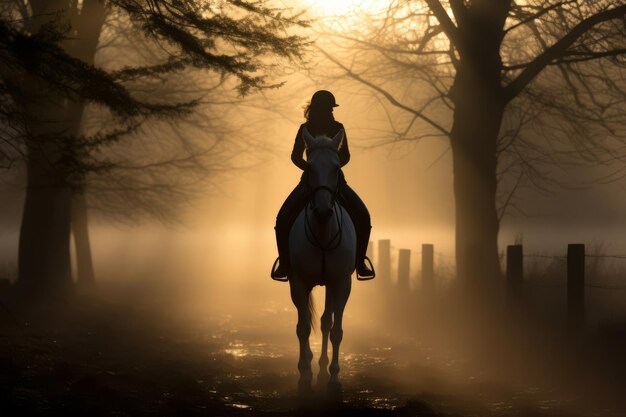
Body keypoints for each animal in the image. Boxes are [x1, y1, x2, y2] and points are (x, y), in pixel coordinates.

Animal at [286, 127, 354, 394]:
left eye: (336, 167)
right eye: (310, 167)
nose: (324, 211)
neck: (323, 233)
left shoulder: (341, 283)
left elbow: (336, 330)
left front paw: (334, 378)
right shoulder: (298, 282)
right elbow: (303, 327)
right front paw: (304, 376)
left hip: (331, 286)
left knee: (326, 322)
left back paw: (324, 370)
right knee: (305, 322)